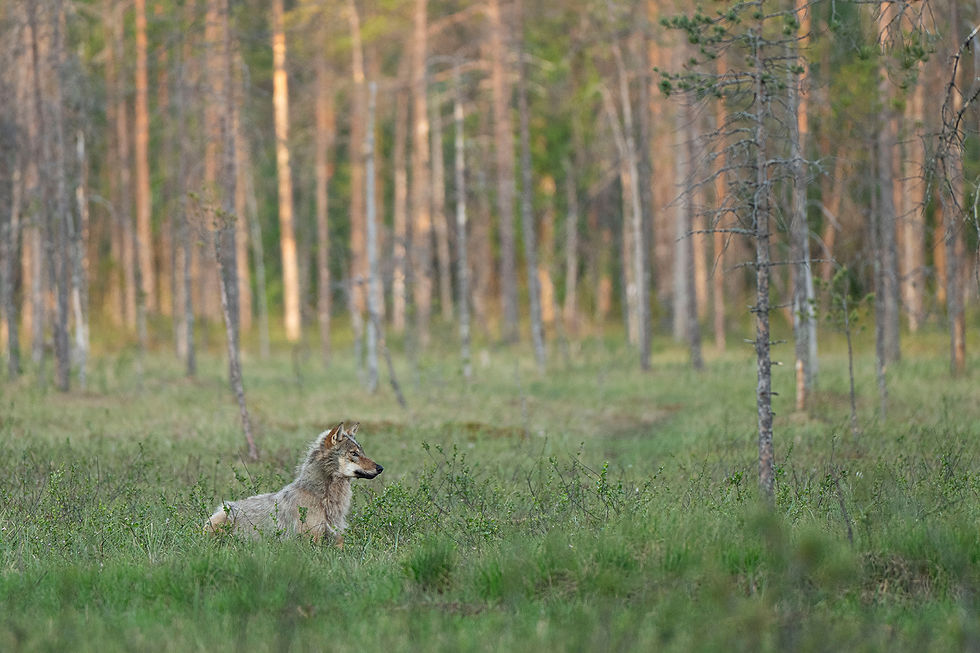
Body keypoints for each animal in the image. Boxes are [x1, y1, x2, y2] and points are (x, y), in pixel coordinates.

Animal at [205, 422, 383, 543]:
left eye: (362, 452)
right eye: (354, 453)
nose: (380, 468)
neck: (322, 499)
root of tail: (225, 506)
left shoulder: (337, 538)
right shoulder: (311, 541)